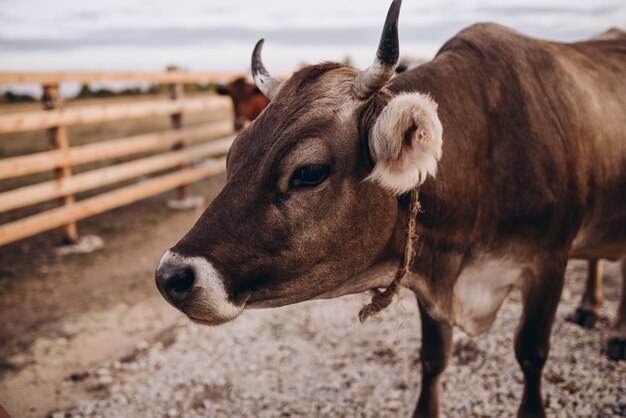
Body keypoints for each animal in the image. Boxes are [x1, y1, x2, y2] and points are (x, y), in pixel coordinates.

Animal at [157, 1, 624, 416]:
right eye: (233, 155)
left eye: (309, 171)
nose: (170, 277)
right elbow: (433, 358)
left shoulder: (549, 263)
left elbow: (531, 353)